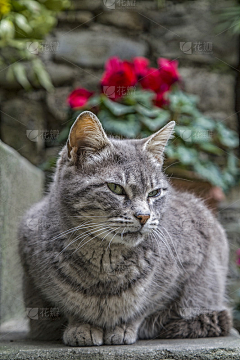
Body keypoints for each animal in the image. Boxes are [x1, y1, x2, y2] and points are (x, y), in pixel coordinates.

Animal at [17, 110, 232, 346]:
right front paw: (82, 327)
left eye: (154, 193)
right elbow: (68, 306)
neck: (105, 262)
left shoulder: (186, 268)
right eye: (116, 188)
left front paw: (123, 327)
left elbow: (145, 307)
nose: (144, 216)